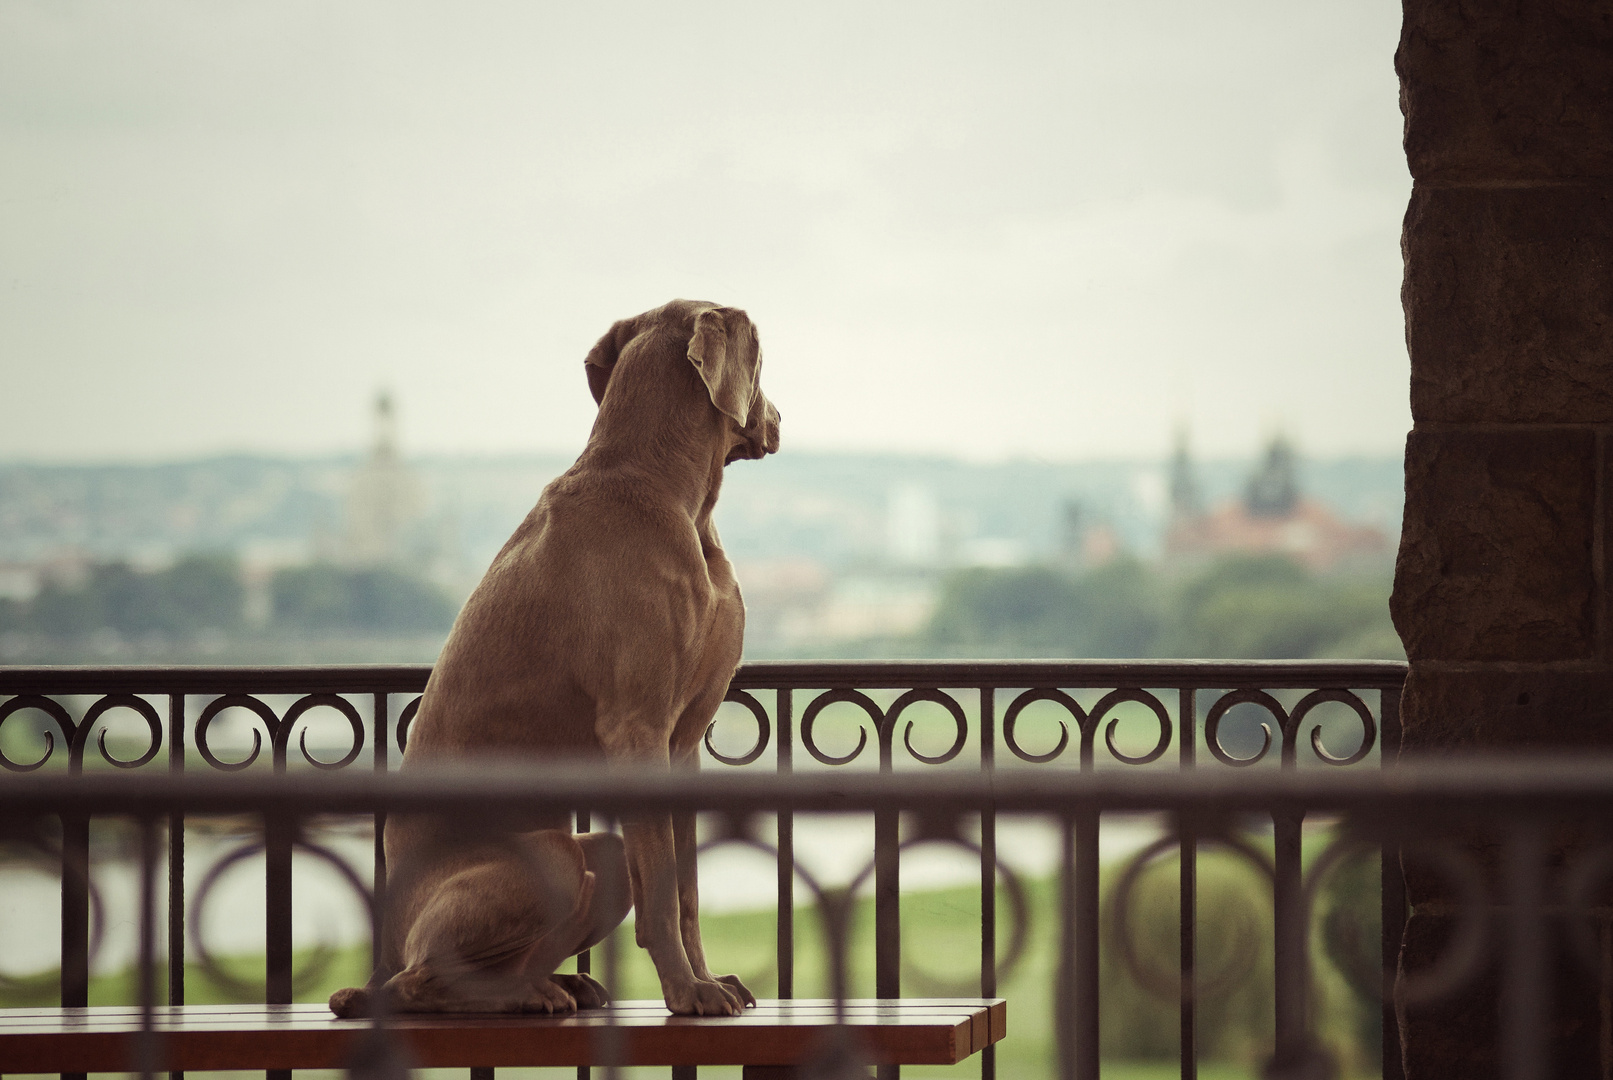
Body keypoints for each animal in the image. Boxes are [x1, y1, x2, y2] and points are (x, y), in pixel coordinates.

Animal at [330, 299, 777, 1018]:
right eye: (765, 354)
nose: (779, 420)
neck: (666, 486)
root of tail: (386, 952)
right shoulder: (636, 728)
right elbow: (660, 891)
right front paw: (687, 991)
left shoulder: (682, 741)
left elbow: (685, 887)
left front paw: (708, 979)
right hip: (551, 860)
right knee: (417, 982)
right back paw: (518, 995)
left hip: (595, 854)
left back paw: (555, 985)